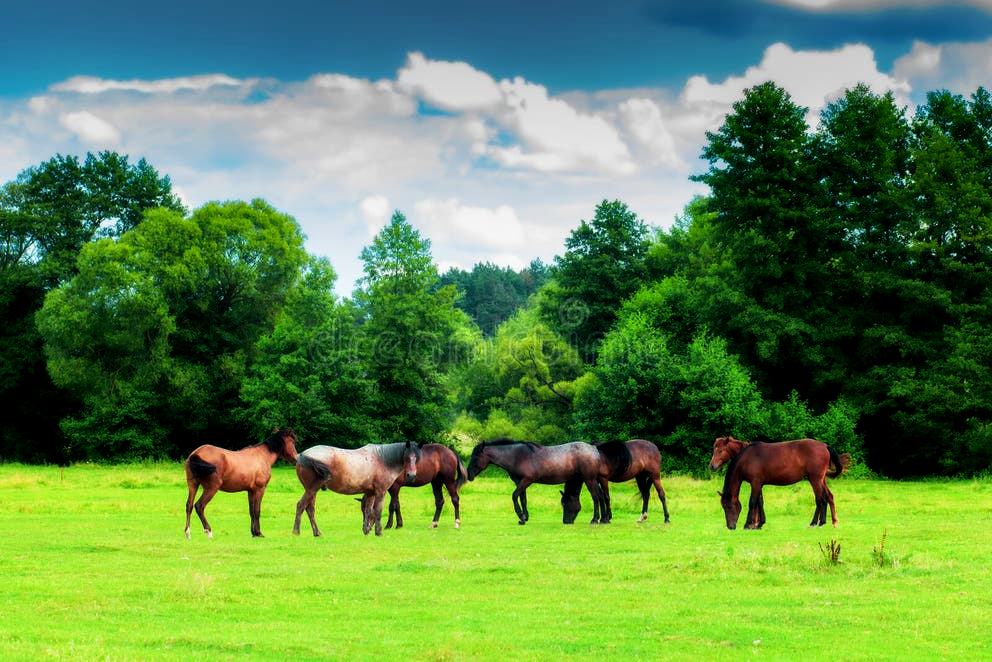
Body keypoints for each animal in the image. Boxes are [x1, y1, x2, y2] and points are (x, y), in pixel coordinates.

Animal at [293, 440, 421, 537]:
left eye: (416, 458)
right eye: (407, 457)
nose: (411, 476)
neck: (382, 460)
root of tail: (302, 455)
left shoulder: (370, 493)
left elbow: (369, 511)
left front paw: (367, 530)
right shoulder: (381, 492)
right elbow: (377, 511)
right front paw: (378, 532)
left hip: (312, 490)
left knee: (310, 509)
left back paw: (317, 532)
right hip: (312, 489)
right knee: (301, 505)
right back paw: (296, 531)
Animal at [467, 438, 607, 525]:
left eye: (476, 457)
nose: (469, 475)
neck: (517, 456)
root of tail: (593, 449)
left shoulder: (527, 480)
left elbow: (514, 496)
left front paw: (521, 517)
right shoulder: (520, 482)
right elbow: (523, 498)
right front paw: (525, 517)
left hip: (589, 479)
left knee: (596, 496)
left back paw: (595, 519)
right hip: (592, 480)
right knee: (601, 496)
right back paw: (604, 519)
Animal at [708, 436, 850, 530]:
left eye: (729, 506)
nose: (730, 526)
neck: (746, 458)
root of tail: (824, 446)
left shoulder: (755, 483)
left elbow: (752, 502)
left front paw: (749, 524)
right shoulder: (759, 484)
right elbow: (760, 502)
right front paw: (759, 524)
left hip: (815, 479)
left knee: (820, 499)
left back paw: (815, 523)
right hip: (820, 479)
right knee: (828, 497)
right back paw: (828, 522)